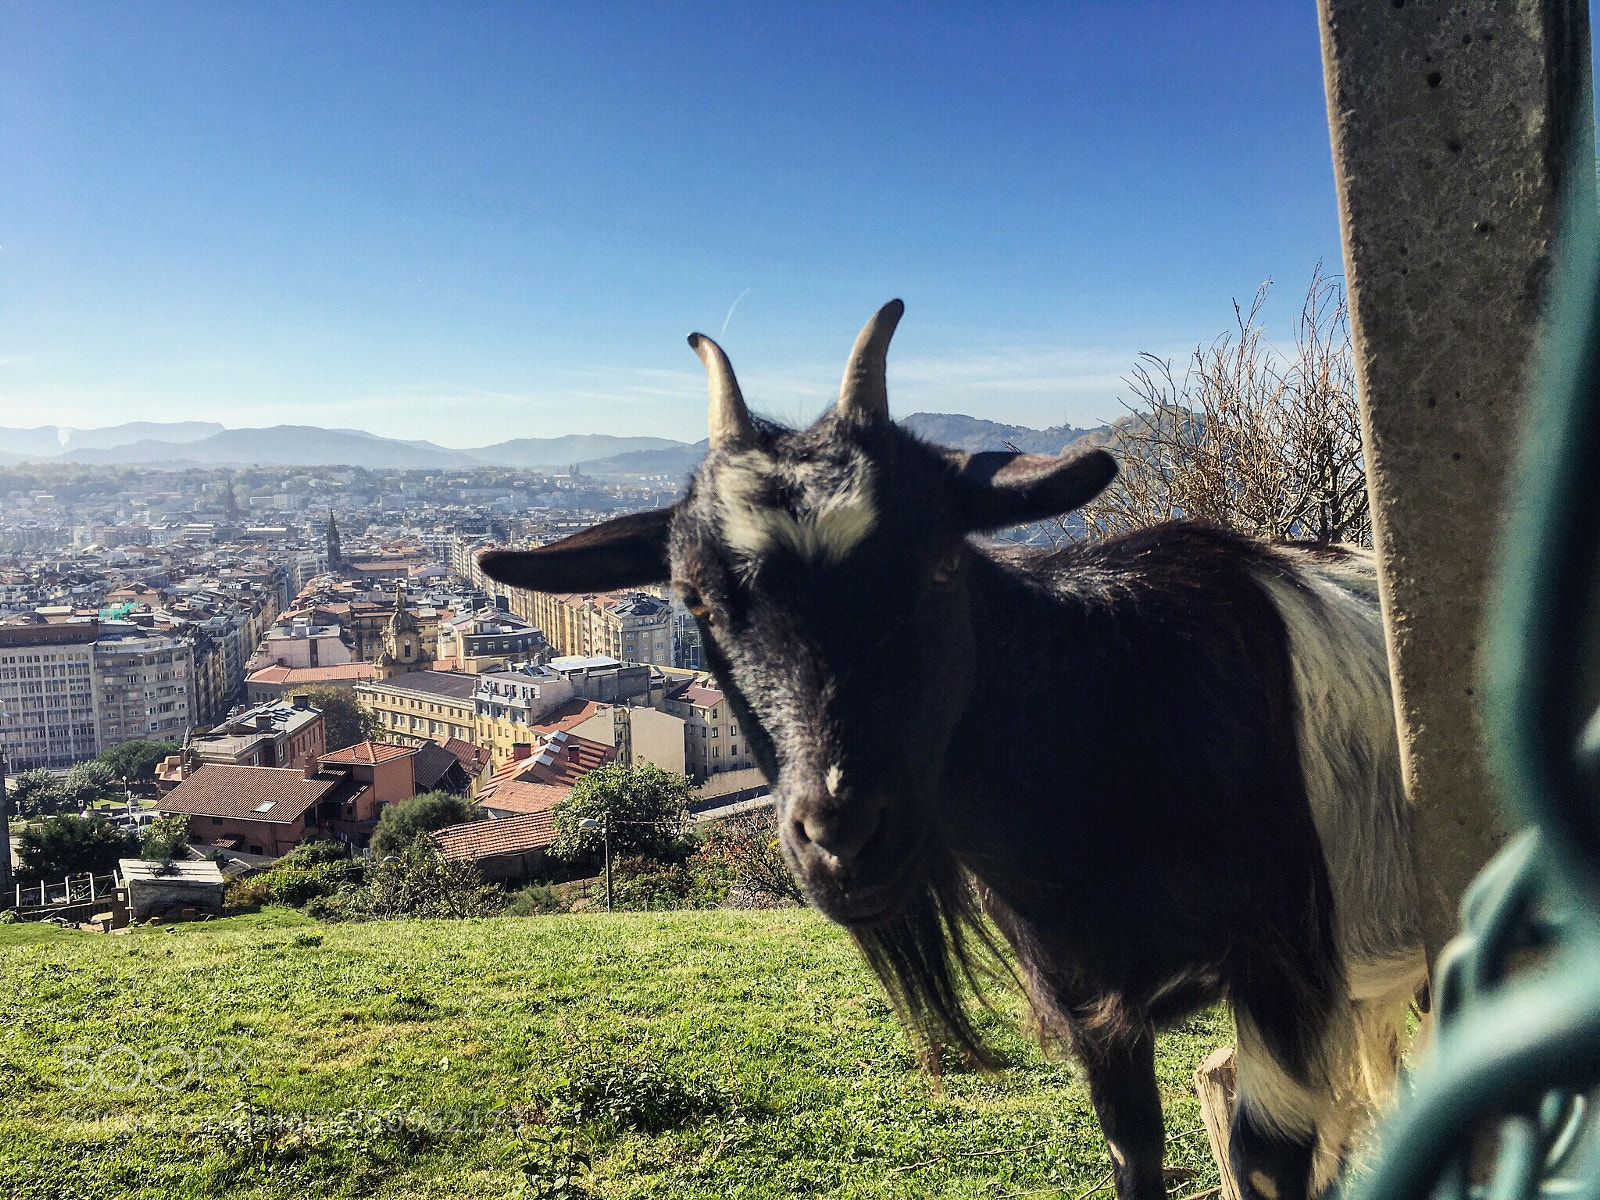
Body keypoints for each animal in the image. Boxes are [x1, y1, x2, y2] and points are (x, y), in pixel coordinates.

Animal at [479, 301, 1425, 1200]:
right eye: (696, 601)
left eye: (938, 564)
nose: (842, 837)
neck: (1107, 723)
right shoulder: (1092, 1007)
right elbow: (1135, 1157)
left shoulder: (1285, 974)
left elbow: (1264, 1160)